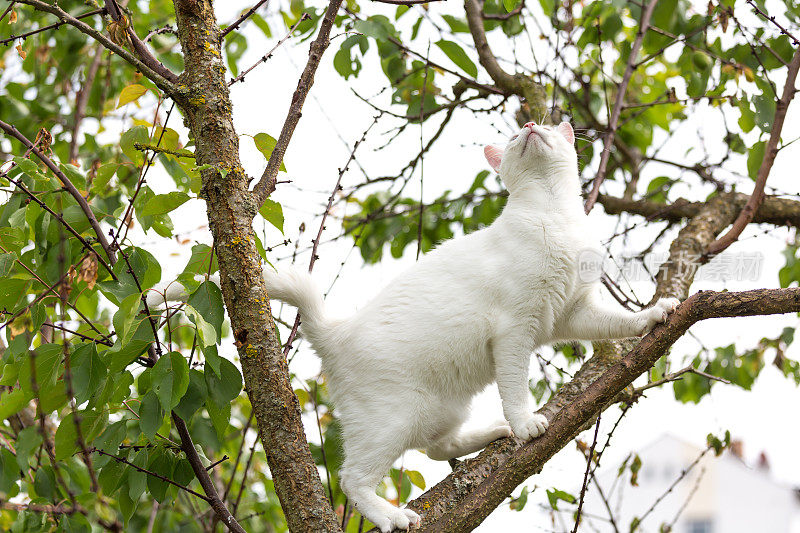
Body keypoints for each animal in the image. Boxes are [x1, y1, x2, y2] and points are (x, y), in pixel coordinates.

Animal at [147, 122, 680, 528]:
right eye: (514, 135)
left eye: (544, 126)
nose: (529, 125)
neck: (555, 215)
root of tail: (335, 333)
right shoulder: (515, 329)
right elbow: (515, 387)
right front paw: (526, 422)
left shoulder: (574, 312)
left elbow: (618, 324)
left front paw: (656, 313)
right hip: (391, 422)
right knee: (354, 478)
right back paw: (392, 515)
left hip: (441, 408)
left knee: (435, 448)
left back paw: (491, 434)